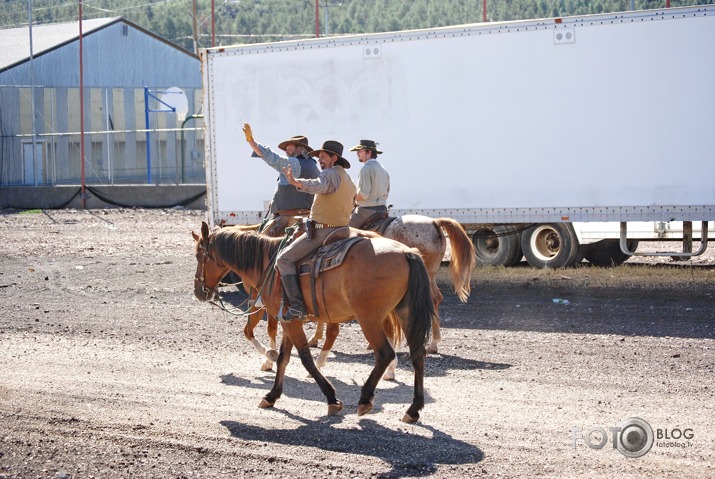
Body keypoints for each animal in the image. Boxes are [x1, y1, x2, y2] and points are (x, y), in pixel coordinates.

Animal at [192, 222, 436, 424]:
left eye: (198, 255)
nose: (198, 291)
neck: (267, 264)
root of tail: (406, 252)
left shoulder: (287, 320)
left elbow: (304, 358)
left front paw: (332, 399)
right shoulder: (288, 320)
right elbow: (283, 358)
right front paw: (271, 396)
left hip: (370, 319)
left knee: (385, 353)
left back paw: (365, 399)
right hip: (405, 312)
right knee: (417, 354)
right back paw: (413, 409)